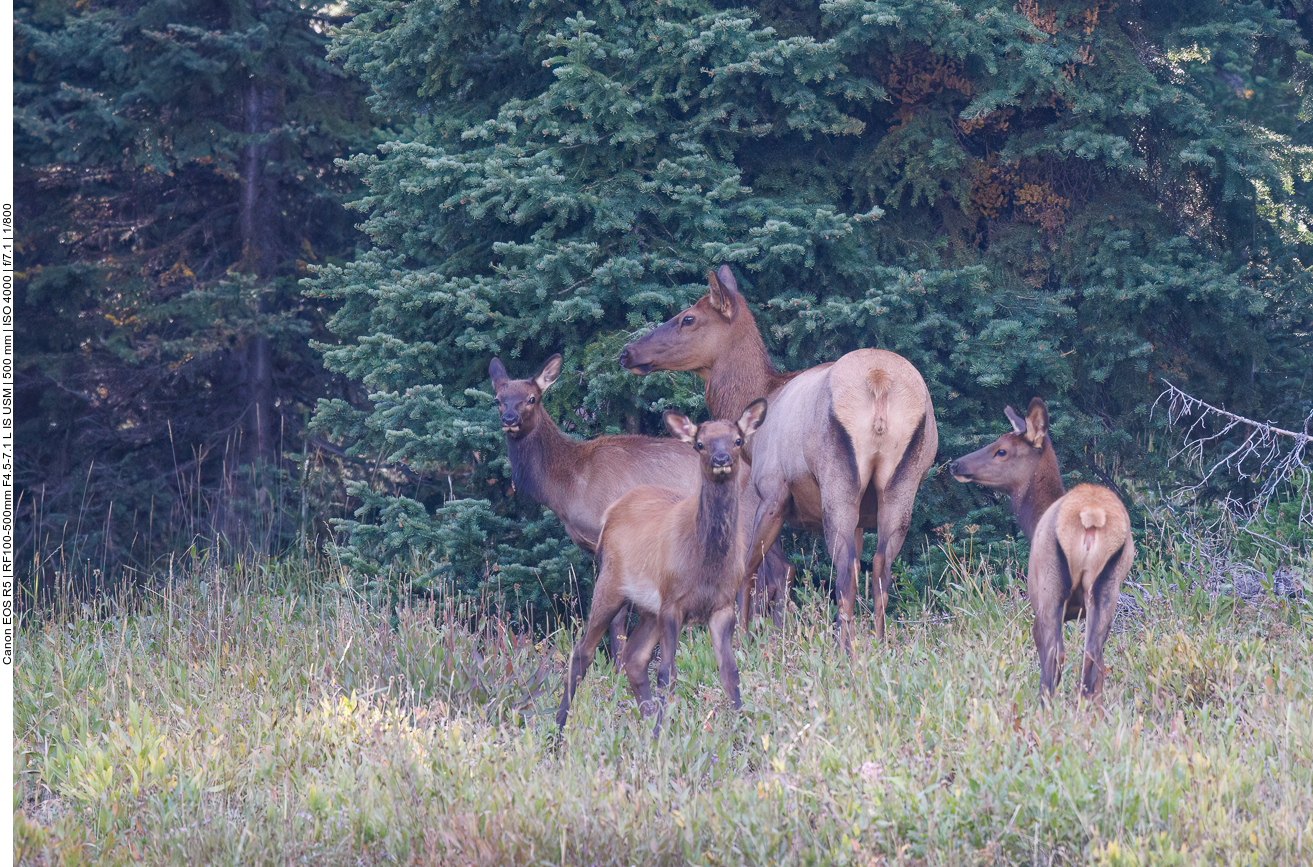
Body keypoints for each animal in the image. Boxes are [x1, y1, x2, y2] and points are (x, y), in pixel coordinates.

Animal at [554, 396, 766, 730]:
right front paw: (662, 734)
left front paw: (742, 730)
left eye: (737, 439)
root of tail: (612, 512)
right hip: (610, 583)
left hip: (648, 609)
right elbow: (667, 674)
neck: (704, 565)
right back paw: (558, 731)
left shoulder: (721, 607)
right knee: (583, 652)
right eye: (700, 443)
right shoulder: (672, 604)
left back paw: (645, 724)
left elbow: (730, 674)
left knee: (633, 658)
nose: (720, 459)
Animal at [619, 267, 940, 654]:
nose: (627, 352)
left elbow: (749, 569)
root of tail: (880, 383)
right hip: (903, 482)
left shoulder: (772, 492)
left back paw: (844, 648)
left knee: (844, 566)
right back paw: (876, 643)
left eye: (688, 318)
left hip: (836, 480)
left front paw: (743, 639)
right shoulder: (863, 518)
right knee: (879, 565)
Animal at [950, 396, 1134, 698]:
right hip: (1108, 588)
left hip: (1049, 586)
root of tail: (1091, 517)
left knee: (1054, 654)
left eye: (1001, 450)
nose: (955, 464)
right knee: (1092, 659)